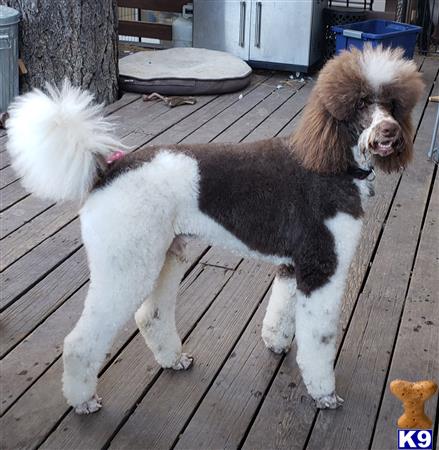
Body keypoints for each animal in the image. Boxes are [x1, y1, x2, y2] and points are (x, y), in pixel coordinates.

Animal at [6, 44, 426, 414]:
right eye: (360, 104)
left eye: (392, 105)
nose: (389, 133)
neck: (332, 161)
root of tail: (108, 169)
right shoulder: (322, 268)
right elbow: (319, 338)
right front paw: (323, 393)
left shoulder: (295, 265)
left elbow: (282, 310)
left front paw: (276, 342)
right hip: (125, 265)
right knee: (81, 341)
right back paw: (82, 400)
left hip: (164, 254)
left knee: (151, 315)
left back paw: (172, 359)